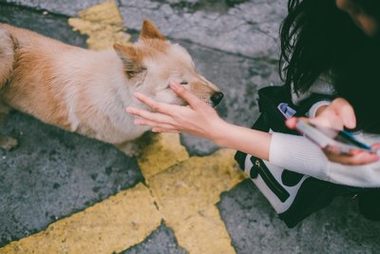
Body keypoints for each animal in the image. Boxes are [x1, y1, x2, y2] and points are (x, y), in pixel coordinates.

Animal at [0, 20, 223, 151]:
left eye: (195, 69)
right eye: (181, 83)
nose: (219, 97)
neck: (122, 99)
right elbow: (123, 144)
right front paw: (134, 149)